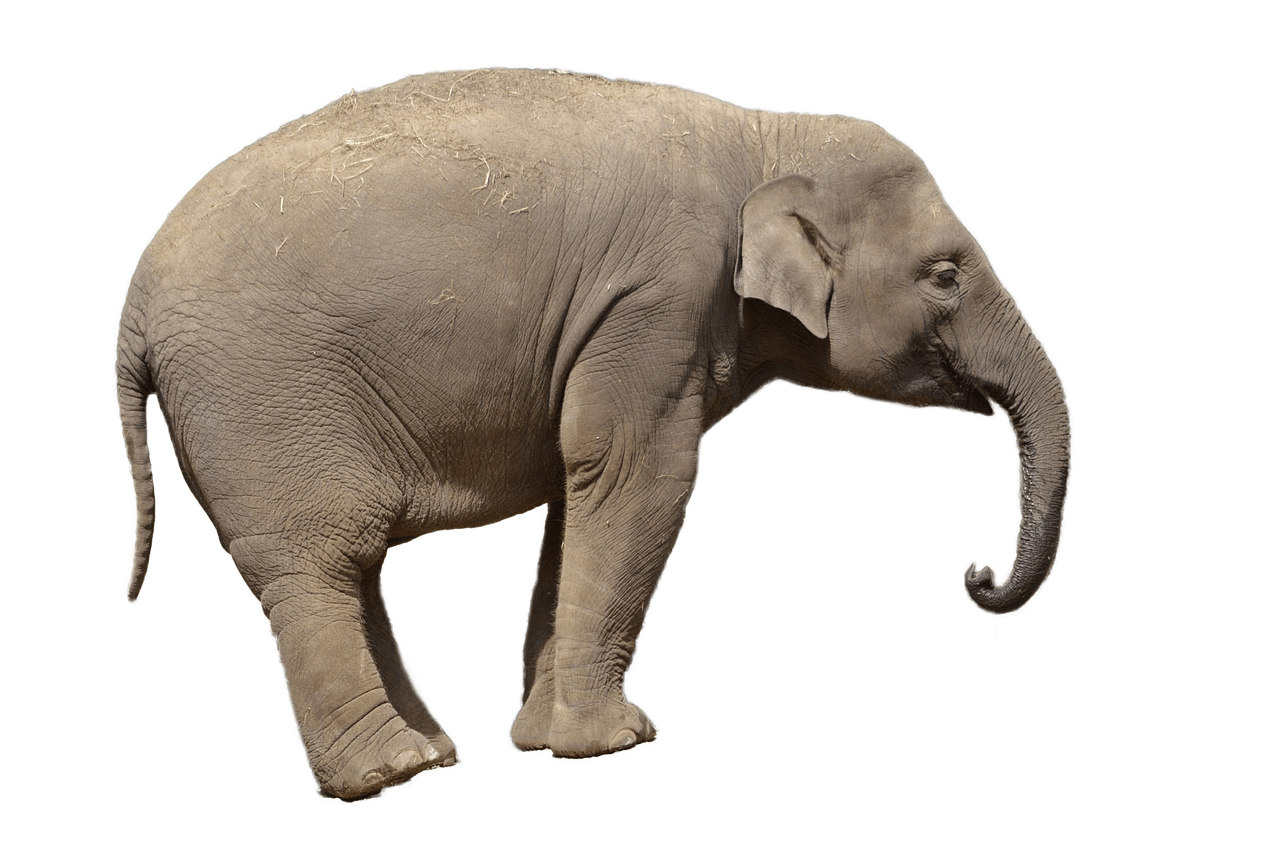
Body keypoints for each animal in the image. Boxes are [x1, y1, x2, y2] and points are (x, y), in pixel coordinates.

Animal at [114, 67, 1071, 803]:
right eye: (945, 275)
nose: (975, 575)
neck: (764, 134)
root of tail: (134, 307)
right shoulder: (658, 300)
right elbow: (638, 472)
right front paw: (617, 742)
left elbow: (580, 494)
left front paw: (545, 741)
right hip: (260, 395)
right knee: (316, 559)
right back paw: (390, 774)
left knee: (350, 564)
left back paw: (433, 755)